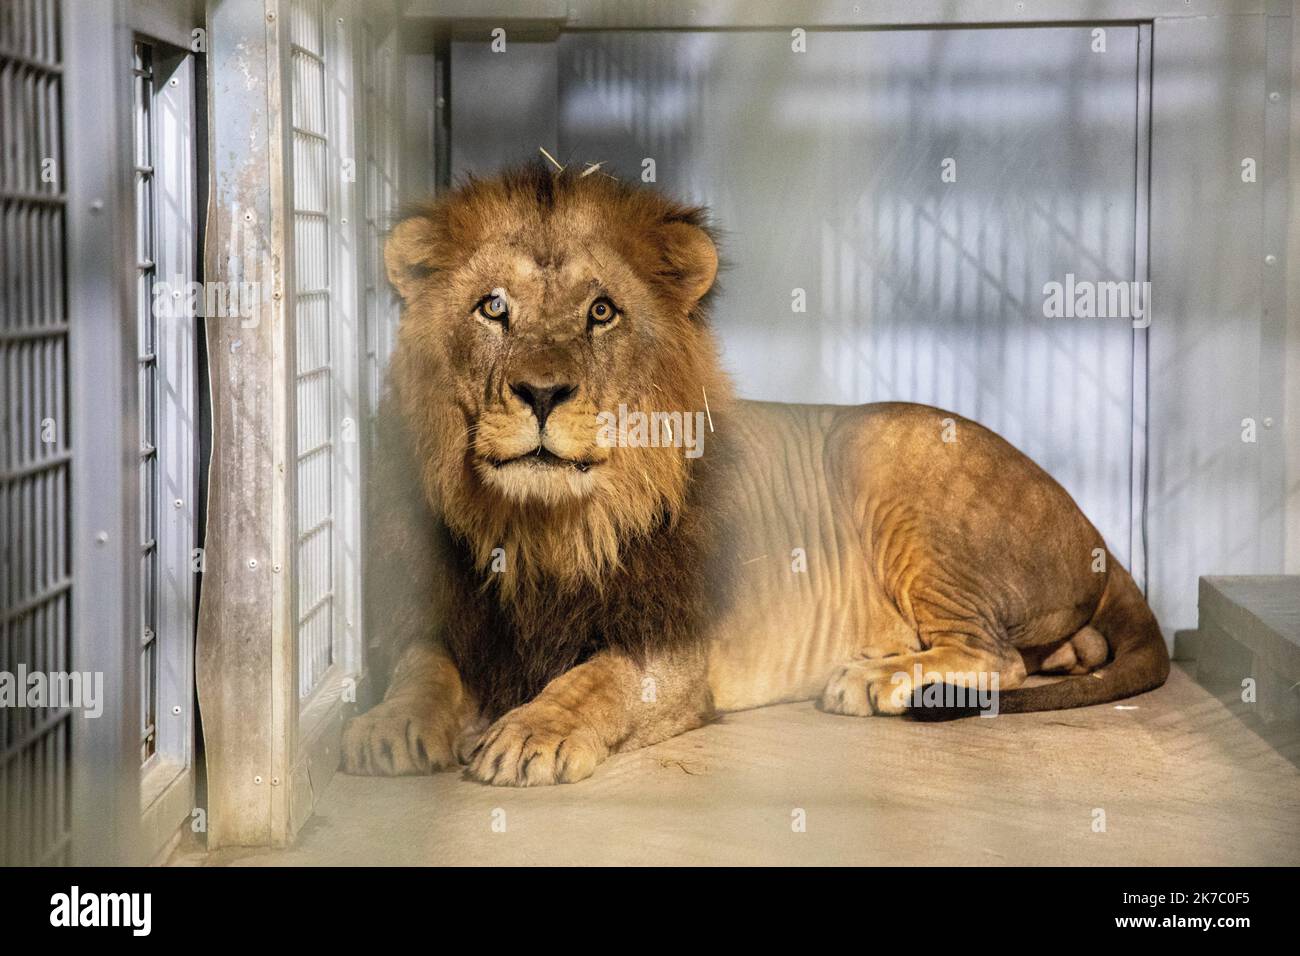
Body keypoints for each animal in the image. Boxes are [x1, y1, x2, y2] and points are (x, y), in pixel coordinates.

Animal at [340, 162, 1175, 785]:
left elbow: (598, 680)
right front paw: (387, 724)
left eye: (602, 312)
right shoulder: (443, 614)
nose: (543, 392)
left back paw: (872, 679)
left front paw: (530, 732)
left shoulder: (672, 646)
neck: (542, 528)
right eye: (492, 307)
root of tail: (1099, 534)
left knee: (994, 654)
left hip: (878, 444)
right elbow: (421, 667)